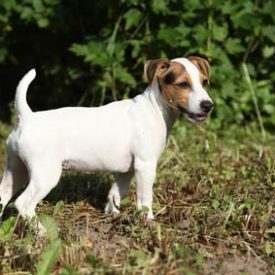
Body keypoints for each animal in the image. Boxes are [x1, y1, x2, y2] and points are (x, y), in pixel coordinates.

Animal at [0, 56, 213, 226]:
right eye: (183, 84)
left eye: (204, 82)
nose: (208, 105)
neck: (154, 108)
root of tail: (27, 117)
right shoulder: (145, 166)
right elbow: (145, 200)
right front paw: (148, 222)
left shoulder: (126, 171)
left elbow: (115, 193)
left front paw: (113, 213)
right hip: (45, 175)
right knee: (23, 203)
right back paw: (41, 231)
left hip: (15, 170)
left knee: (3, 196)